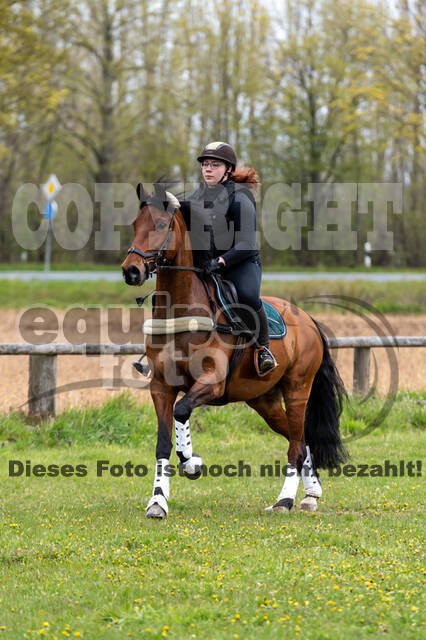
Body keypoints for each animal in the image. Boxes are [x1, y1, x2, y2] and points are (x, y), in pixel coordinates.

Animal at [120, 178, 346, 516]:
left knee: (295, 443)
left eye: (160, 225)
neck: (183, 309)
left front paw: (192, 462)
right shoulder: (161, 387)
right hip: (264, 401)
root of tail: (307, 319)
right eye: (135, 224)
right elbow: (163, 442)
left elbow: (182, 410)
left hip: (297, 389)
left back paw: (285, 500)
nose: (131, 270)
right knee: (301, 439)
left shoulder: (211, 382)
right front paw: (157, 501)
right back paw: (311, 494)